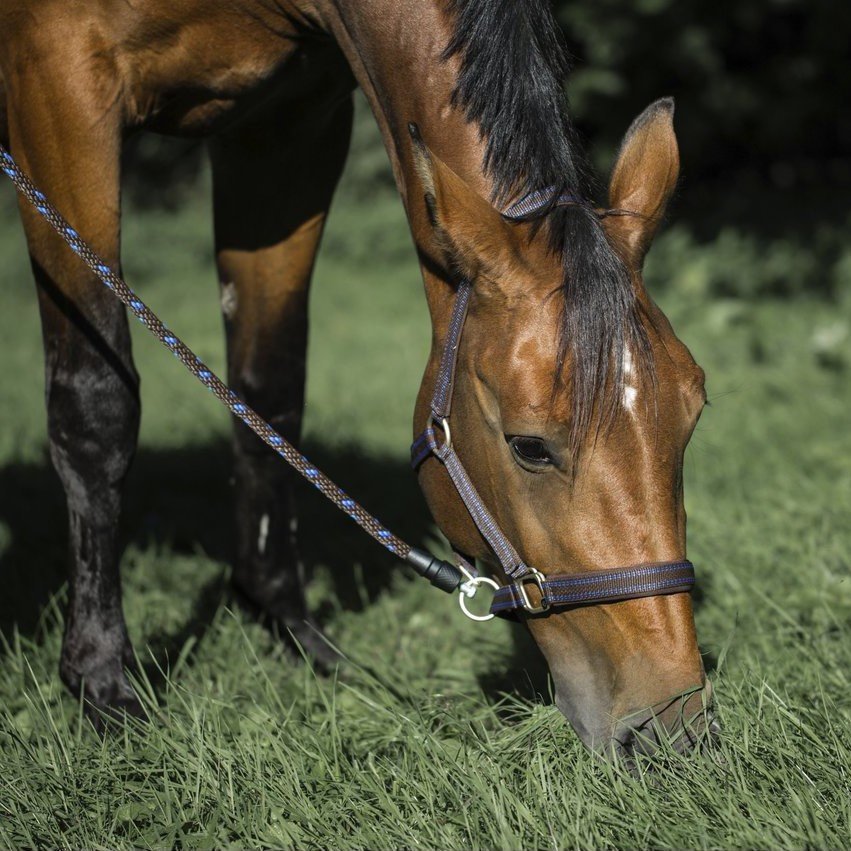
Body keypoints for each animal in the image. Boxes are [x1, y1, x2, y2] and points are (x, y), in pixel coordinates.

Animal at [0, 0, 714, 759]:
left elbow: (269, 391)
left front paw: (283, 622)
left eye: (692, 415)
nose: (673, 725)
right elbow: (95, 405)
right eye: (529, 446)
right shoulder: (59, 81)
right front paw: (101, 678)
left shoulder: (289, 126)